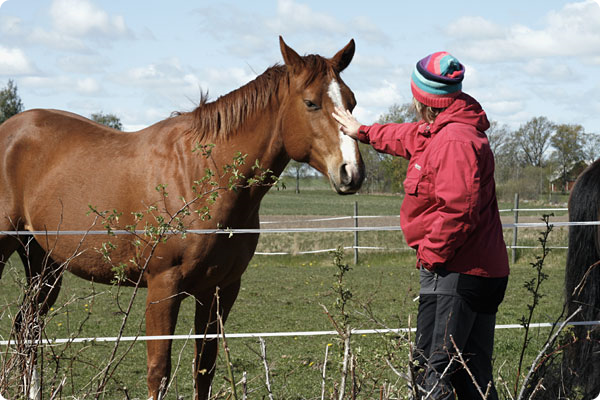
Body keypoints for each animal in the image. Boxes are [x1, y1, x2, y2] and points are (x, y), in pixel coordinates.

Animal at [0, 36, 366, 396]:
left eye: (351, 102)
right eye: (311, 103)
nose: (351, 172)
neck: (200, 174)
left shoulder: (220, 289)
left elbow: (204, 369)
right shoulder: (163, 286)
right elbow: (158, 372)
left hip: (44, 262)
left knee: (27, 329)